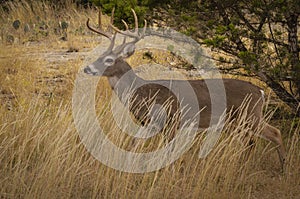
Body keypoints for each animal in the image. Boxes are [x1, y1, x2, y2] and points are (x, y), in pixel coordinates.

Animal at [82, 8, 286, 169]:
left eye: (109, 60)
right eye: (99, 55)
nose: (87, 68)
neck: (142, 92)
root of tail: (260, 91)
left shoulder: (172, 120)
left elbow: (168, 152)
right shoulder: (149, 123)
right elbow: (133, 144)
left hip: (251, 115)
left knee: (275, 133)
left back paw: (282, 169)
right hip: (239, 121)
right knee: (250, 141)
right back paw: (243, 165)